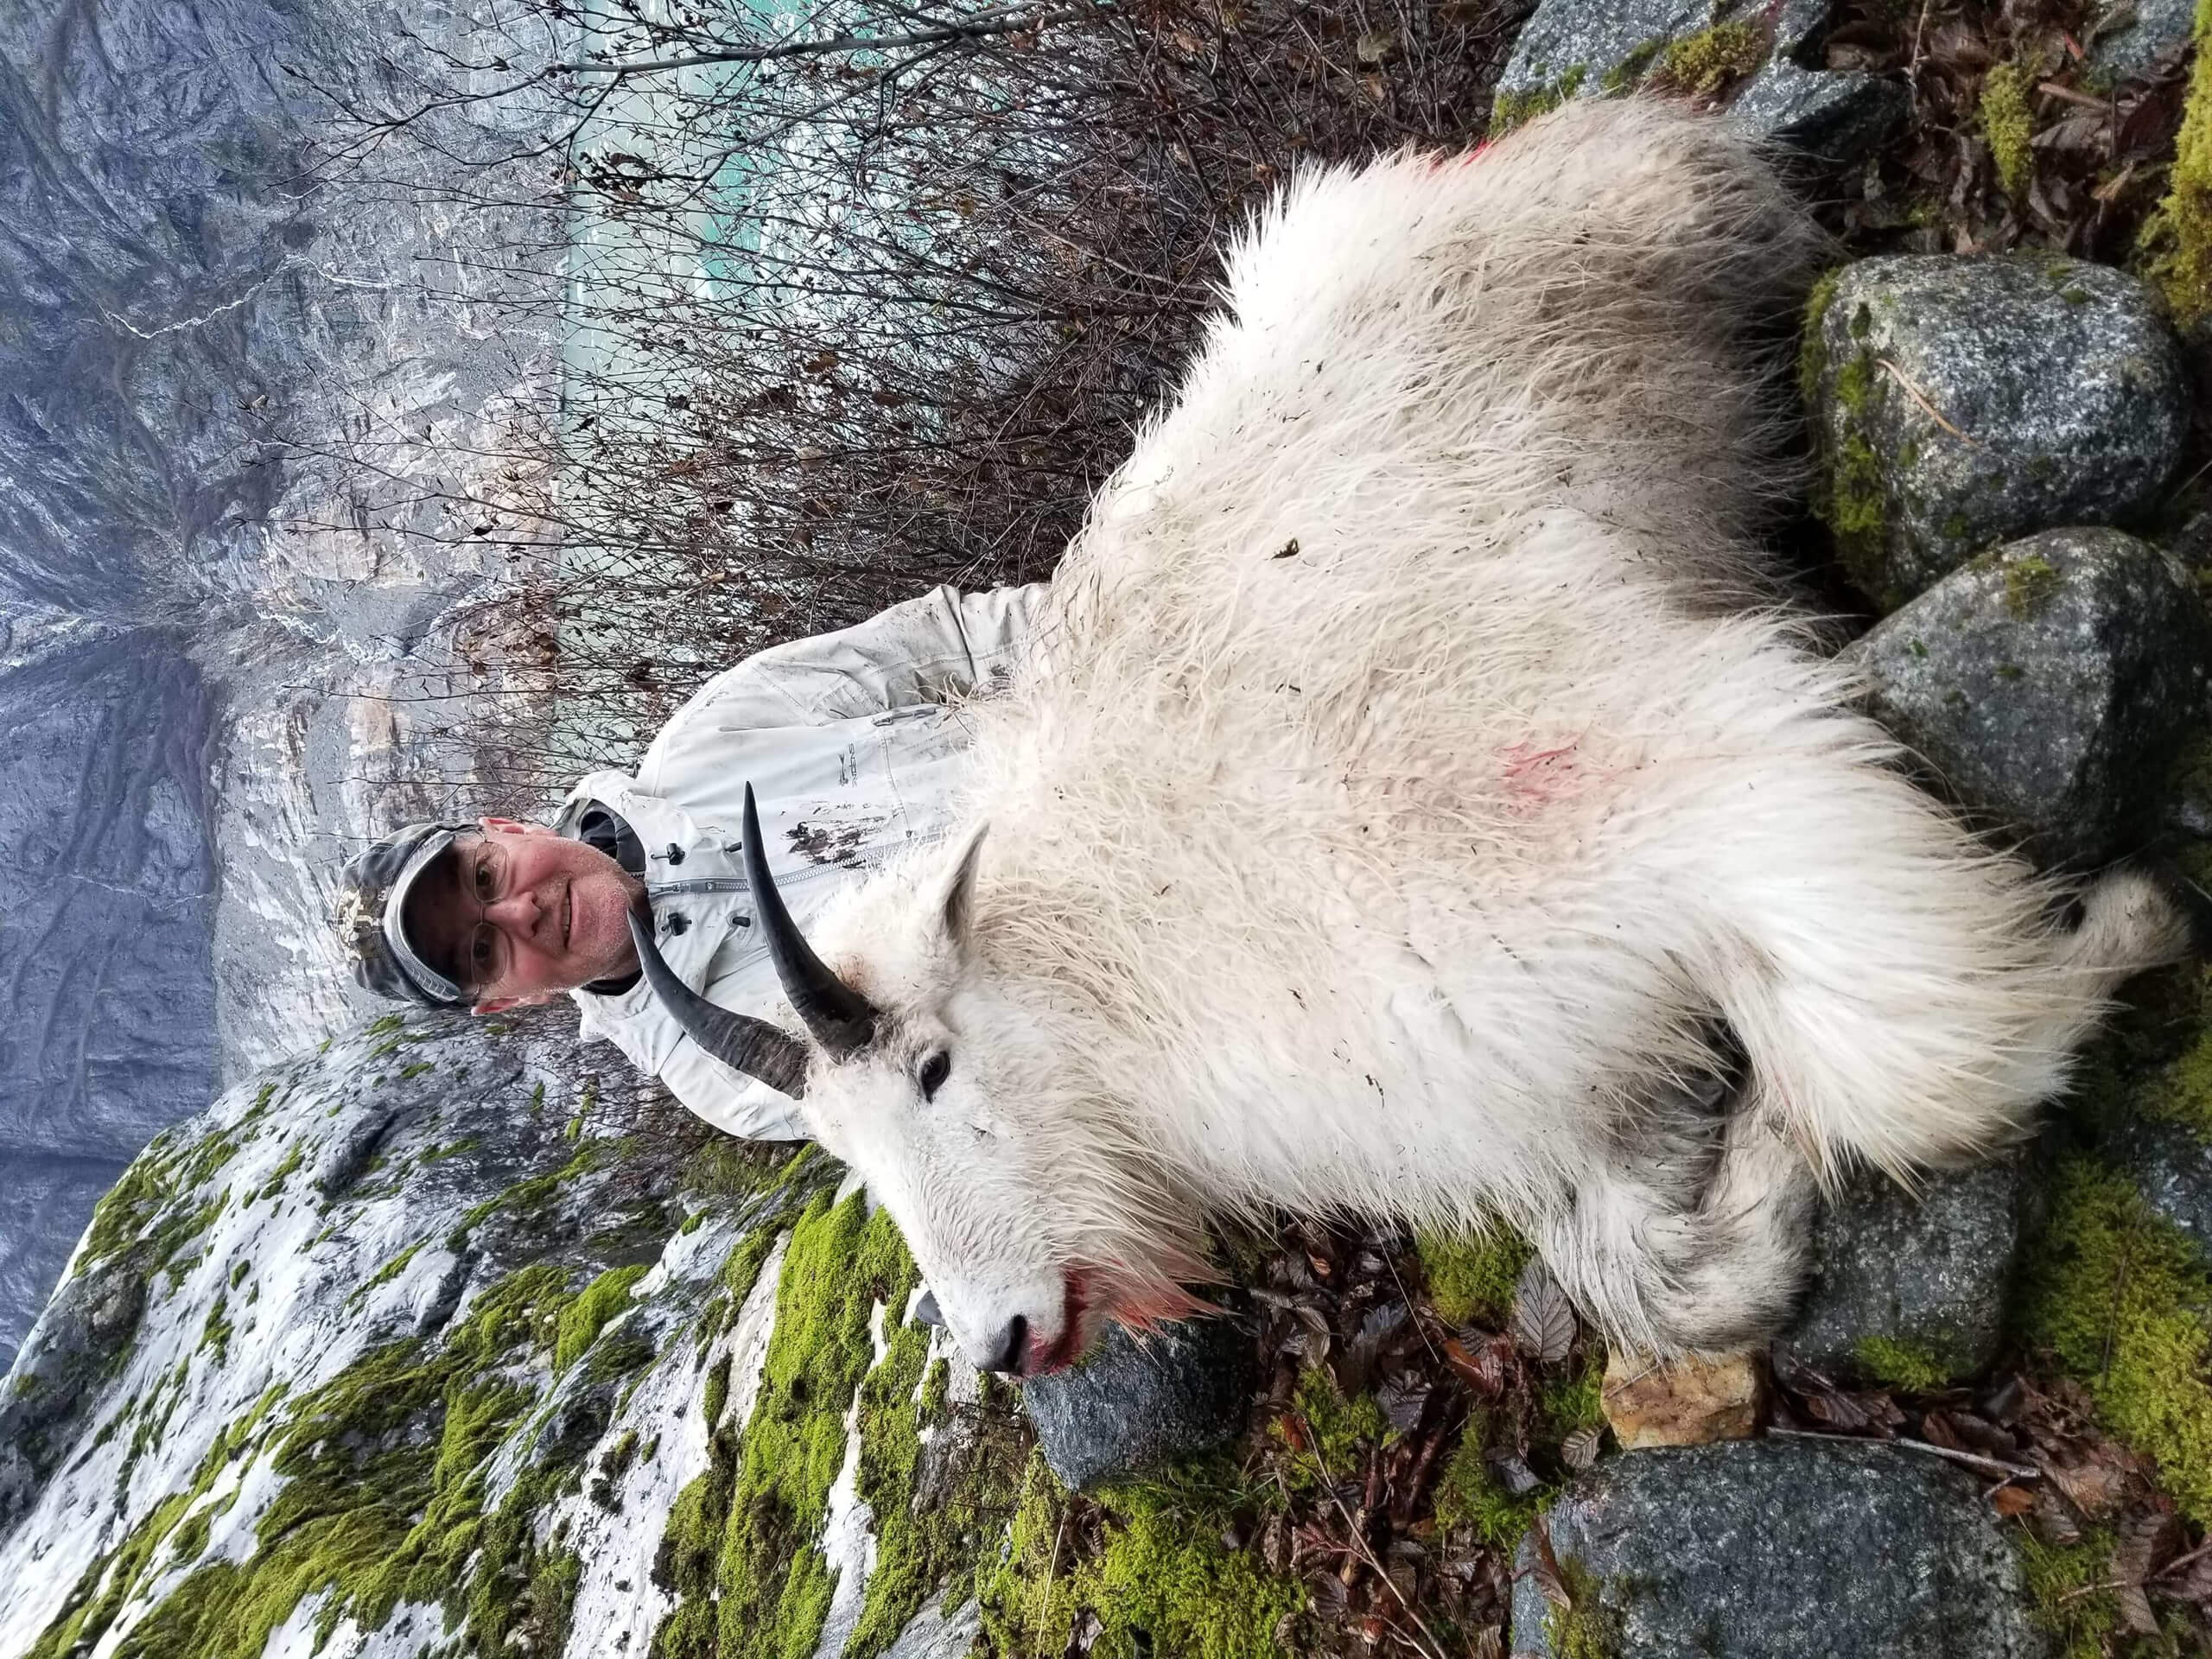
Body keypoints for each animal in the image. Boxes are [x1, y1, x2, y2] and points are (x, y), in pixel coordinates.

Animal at [633, 97, 2187, 1371]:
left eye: (935, 1069)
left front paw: (2130, 915)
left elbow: (1929, 1064)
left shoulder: (1691, 786)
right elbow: (1656, 1279)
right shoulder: (1541, 1089)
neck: (1115, 966)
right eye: (848, 1158)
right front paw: (1759, 1165)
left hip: (1672, 229)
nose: (1005, 1344)